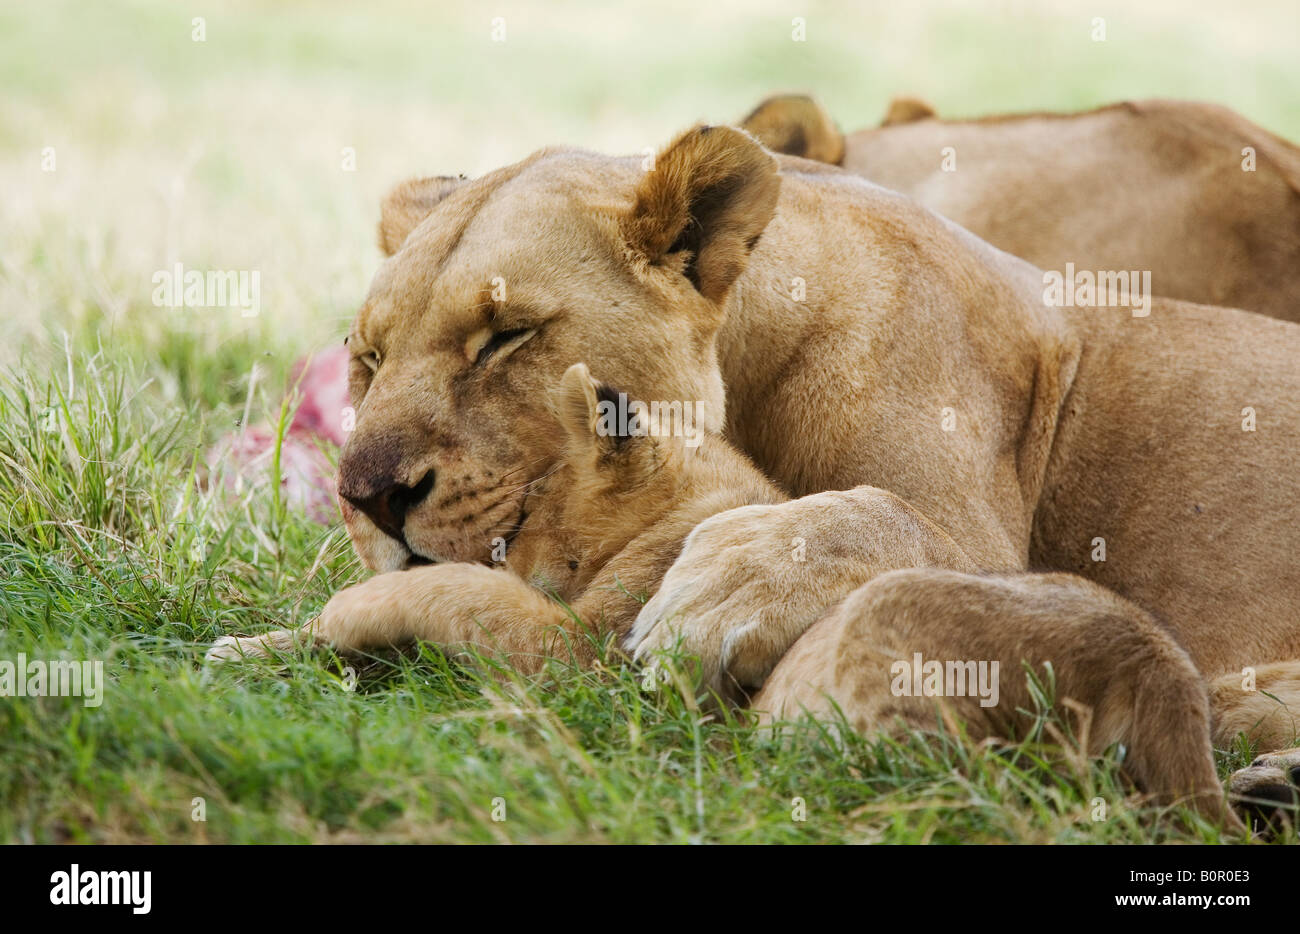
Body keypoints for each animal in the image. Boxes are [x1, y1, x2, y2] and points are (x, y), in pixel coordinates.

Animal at [210, 124, 1300, 828]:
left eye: (506, 334)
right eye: (366, 358)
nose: (367, 498)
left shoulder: (995, 545)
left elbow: (877, 513)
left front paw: (722, 587)